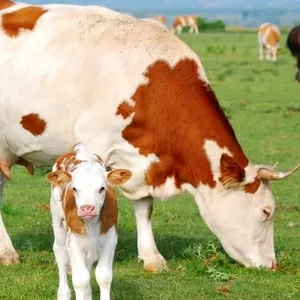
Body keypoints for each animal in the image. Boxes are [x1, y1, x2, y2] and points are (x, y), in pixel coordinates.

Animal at [45, 143, 131, 300]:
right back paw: (63, 294)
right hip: (57, 220)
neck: (92, 225)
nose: (87, 208)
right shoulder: (73, 242)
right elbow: (80, 280)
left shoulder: (110, 240)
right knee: (60, 253)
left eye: (102, 188)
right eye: (74, 188)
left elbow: (103, 276)